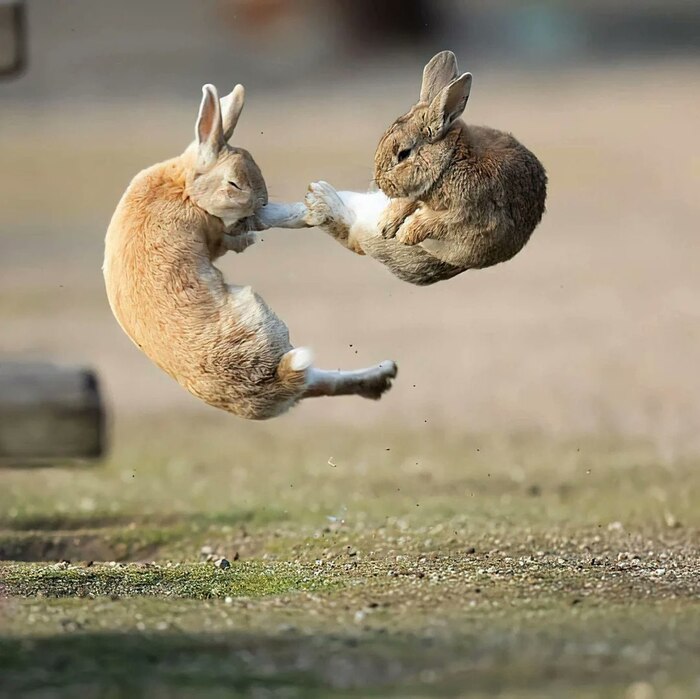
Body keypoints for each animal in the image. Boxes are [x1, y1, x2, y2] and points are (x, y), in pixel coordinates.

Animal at [103, 83, 397, 420]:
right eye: (233, 183)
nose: (261, 202)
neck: (185, 187)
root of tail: (275, 381)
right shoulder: (216, 231)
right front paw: (292, 219)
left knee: (319, 383)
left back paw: (383, 375)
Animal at [304, 50, 547, 286]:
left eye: (403, 154)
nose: (381, 184)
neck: (449, 162)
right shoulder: (416, 193)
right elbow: (408, 203)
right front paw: (388, 224)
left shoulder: (465, 214)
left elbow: (434, 222)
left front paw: (405, 233)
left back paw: (320, 199)